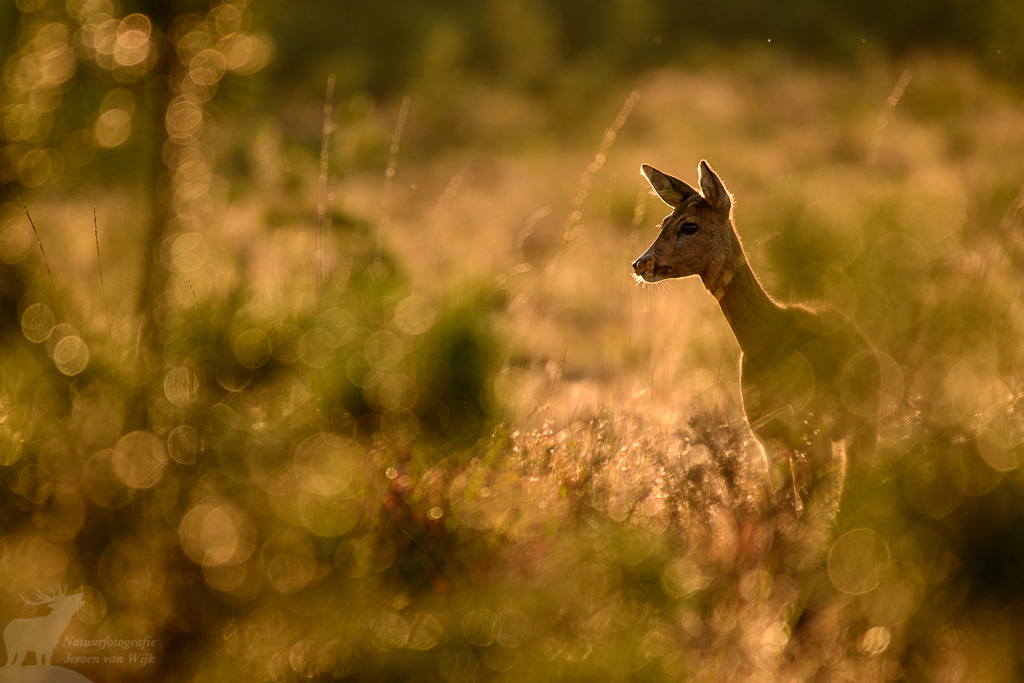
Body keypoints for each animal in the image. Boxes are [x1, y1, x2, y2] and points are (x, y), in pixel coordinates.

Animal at [632, 161, 880, 524]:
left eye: (689, 225)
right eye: (664, 221)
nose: (641, 263)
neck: (767, 337)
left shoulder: (810, 434)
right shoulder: (768, 439)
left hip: (860, 427)